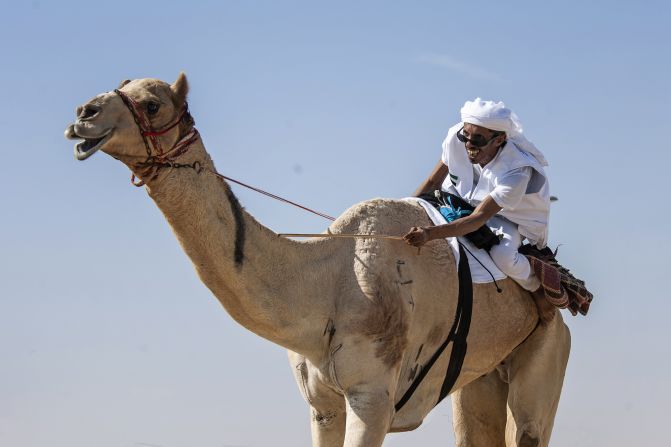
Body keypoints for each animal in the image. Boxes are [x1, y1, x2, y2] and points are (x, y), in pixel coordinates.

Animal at [64, 74, 572, 447]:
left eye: (152, 104)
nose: (83, 115)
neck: (328, 281)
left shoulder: (372, 399)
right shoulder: (322, 405)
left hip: (547, 353)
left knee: (530, 426)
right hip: (480, 377)